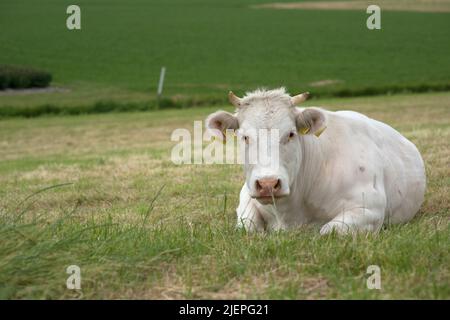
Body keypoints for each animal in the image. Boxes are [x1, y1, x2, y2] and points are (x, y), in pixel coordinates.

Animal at [206, 88, 428, 235]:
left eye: (291, 134)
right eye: (244, 137)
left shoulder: (370, 208)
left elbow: (328, 231)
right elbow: (248, 226)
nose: (268, 184)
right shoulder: (246, 195)